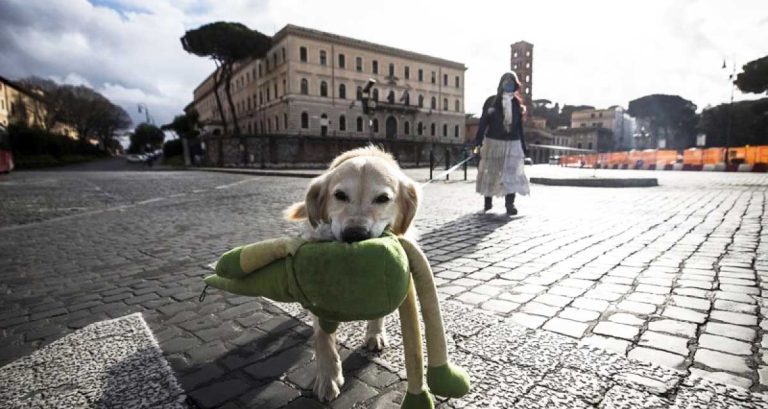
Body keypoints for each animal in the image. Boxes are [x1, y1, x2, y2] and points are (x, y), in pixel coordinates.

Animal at [284, 145, 420, 400]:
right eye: (339, 195)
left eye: (383, 198)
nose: (355, 234)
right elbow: (323, 337)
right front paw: (328, 377)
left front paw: (375, 333)